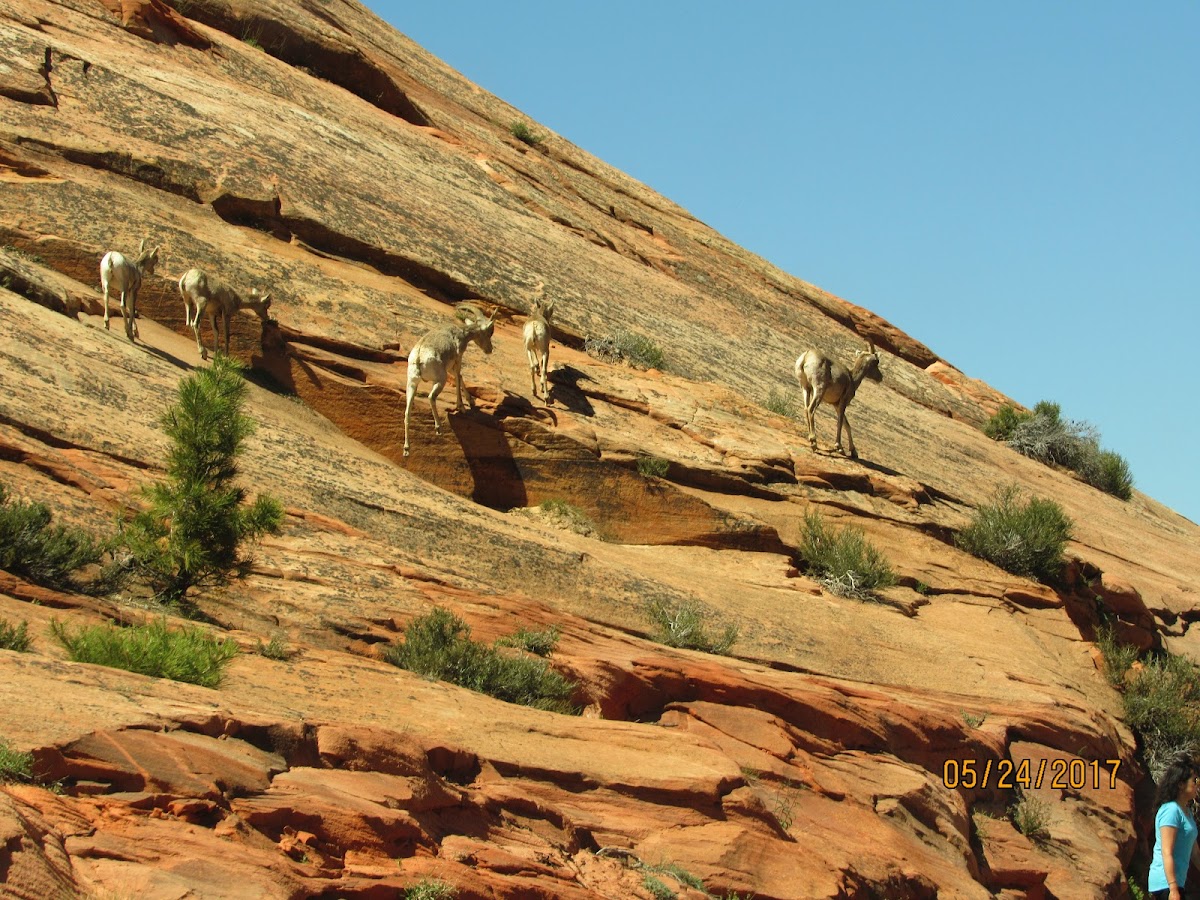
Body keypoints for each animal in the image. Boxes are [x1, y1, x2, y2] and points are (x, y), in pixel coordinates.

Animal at [405, 304, 494, 458]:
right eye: (488, 333)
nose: (490, 349)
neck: (461, 333)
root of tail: (419, 357)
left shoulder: (451, 366)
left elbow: (460, 377)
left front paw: (471, 401)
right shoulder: (458, 360)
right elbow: (458, 377)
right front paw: (462, 407)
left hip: (412, 384)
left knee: (407, 413)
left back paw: (406, 449)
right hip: (441, 380)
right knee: (431, 397)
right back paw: (439, 428)